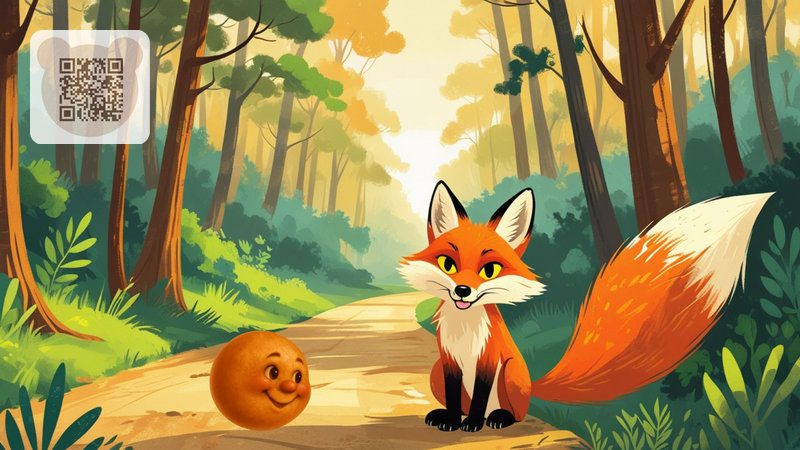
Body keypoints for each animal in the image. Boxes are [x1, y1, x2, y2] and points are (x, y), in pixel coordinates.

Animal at [399, 180, 772, 433]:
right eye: (448, 264)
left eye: (489, 270)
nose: (462, 290)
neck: (465, 331)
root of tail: (534, 384)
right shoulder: (448, 360)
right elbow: (454, 396)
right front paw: (452, 419)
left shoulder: (490, 359)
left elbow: (478, 397)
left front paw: (473, 423)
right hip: (435, 372)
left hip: (511, 374)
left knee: (511, 412)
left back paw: (498, 418)